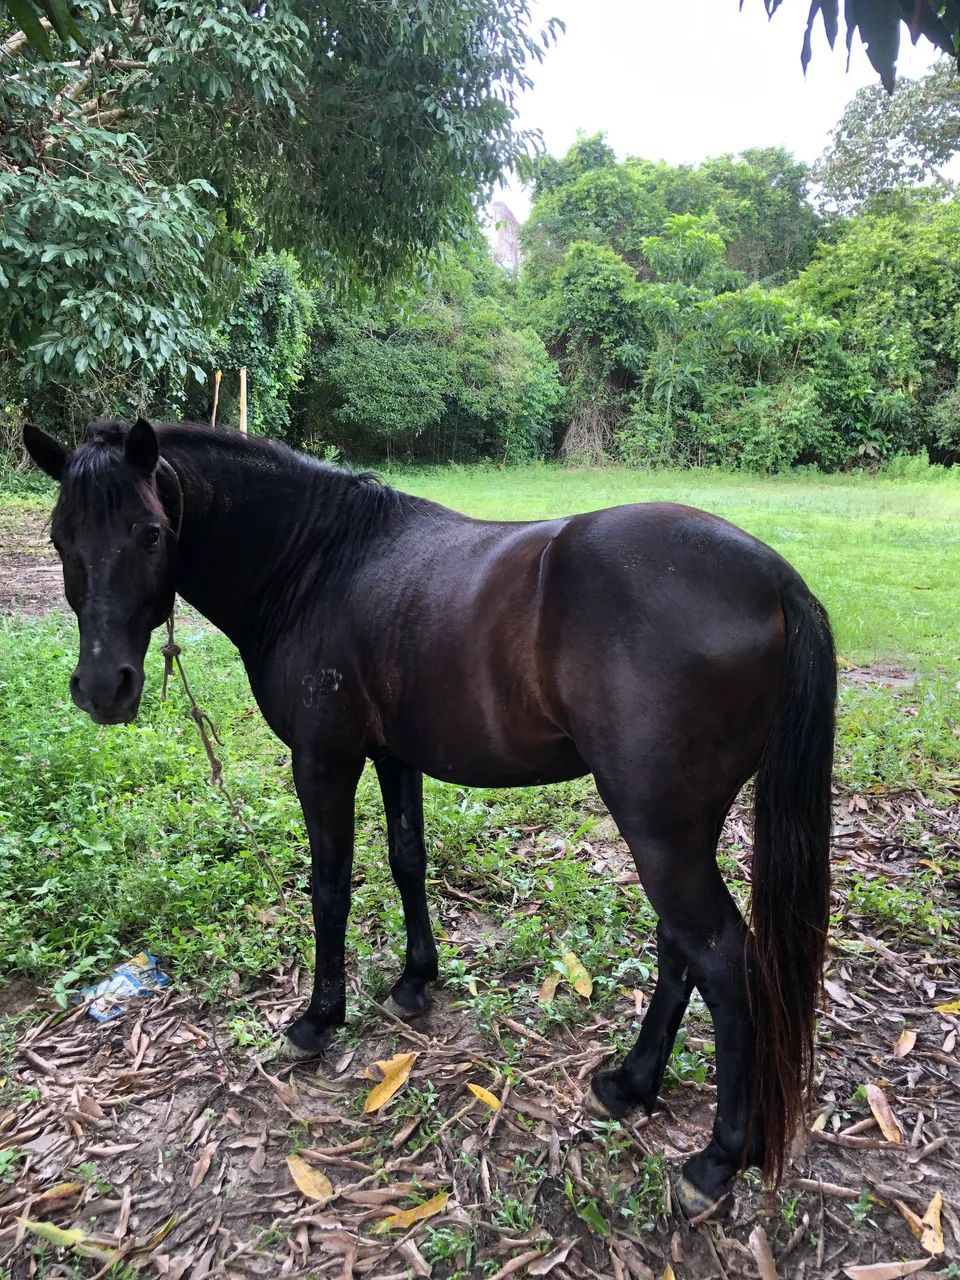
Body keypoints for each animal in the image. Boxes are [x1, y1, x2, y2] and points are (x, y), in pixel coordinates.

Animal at [23, 417, 835, 1216]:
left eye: (148, 533)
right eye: (62, 536)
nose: (102, 687)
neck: (317, 564)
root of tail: (774, 578)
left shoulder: (324, 761)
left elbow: (330, 888)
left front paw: (319, 1019)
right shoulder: (394, 755)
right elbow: (406, 859)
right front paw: (416, 982)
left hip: (660, 830)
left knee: (722, 960)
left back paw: (718, 1160)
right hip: (678, 830)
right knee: (681, 949)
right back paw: (630, 1085)